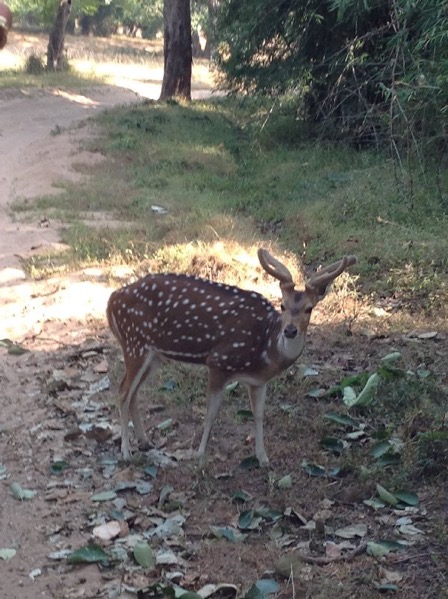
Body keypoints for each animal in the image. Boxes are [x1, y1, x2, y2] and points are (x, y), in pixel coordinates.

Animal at [107, 248, 356, 464]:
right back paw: (126, 452)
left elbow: (259, 414)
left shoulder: (258, 381)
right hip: (135, 342)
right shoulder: (218, 361)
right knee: (122, 392)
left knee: (133, 393)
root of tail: (112, 300)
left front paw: (263, 458)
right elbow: (211, 413)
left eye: (309, 308)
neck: (265, 350)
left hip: (153, 355)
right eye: (282, 305)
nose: (290, 330)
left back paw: (145, 441)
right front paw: (200, 455)